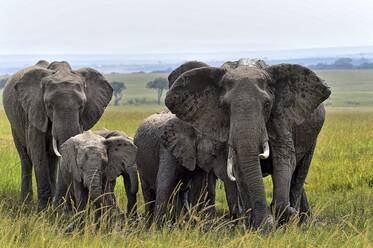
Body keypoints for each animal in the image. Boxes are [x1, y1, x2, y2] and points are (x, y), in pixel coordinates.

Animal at [2, 60, 112, 209]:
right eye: (49, 105)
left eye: (82, 106)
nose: (59, 205)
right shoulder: (35, 111)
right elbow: (37, 152)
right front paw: (43, 209)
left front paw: (56, 208)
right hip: (15, 123)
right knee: (26, 158)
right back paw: (26, 203)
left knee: (52, 160)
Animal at [164, 59, 330, 230]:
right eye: (225, 106)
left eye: (267, 104)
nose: (267, 222)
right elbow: (239, 168)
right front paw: (257, 226)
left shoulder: (280, 118)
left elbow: (285, 160)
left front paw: (284, 216)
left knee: (300, 172)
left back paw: (301, 221)